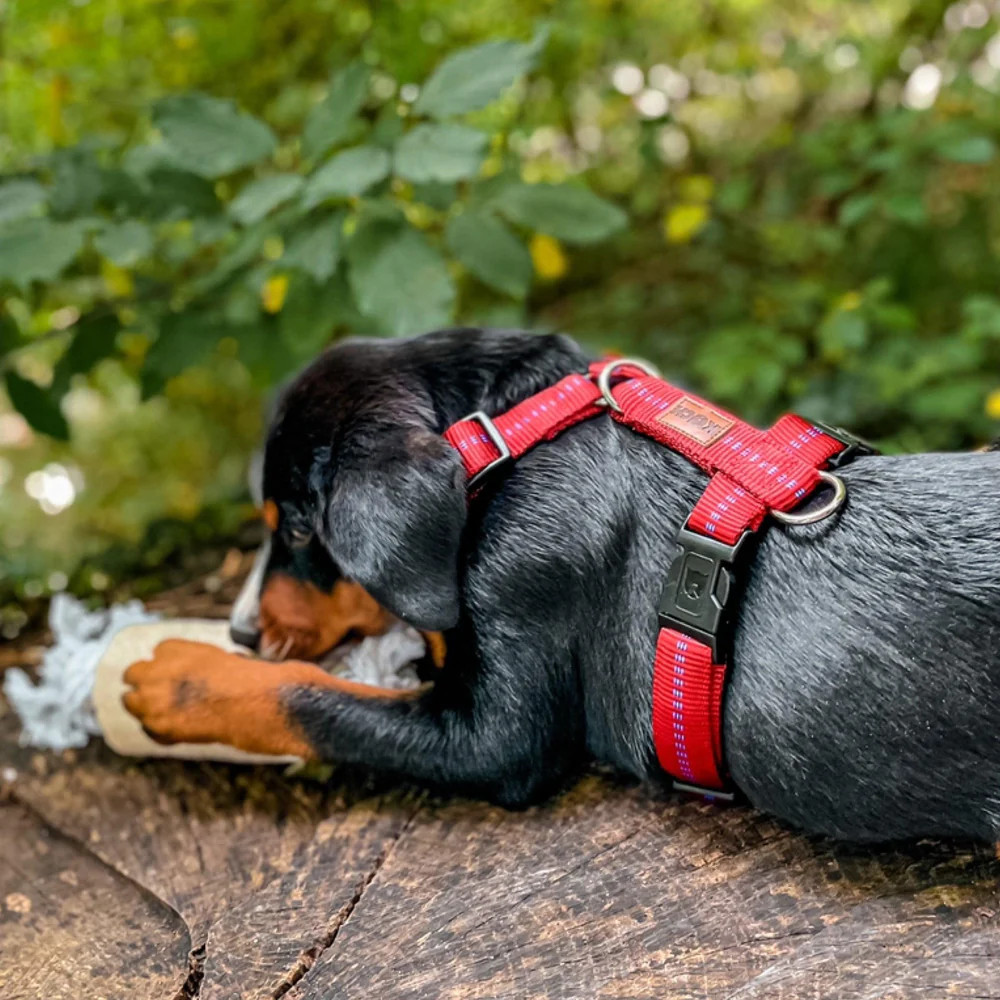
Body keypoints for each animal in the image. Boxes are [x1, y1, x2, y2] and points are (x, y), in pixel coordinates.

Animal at [123, 330, 1000, 844]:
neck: (505, 436)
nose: (239, 630)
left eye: (304, 532)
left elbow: (315, 701)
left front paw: (181, 677)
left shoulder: (504, 734)